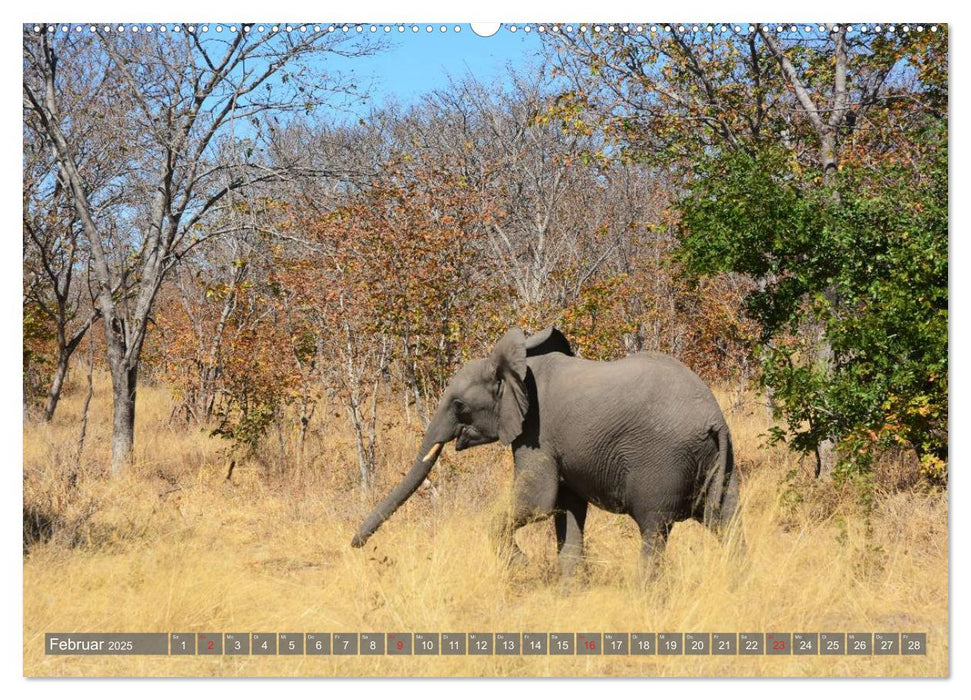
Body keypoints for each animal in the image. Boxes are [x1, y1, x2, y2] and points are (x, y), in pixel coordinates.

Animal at [354, 326, 740, 576]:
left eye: (460, 405)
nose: (354, 545)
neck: (517, 366)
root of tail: (713, 420)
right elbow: (565, 508)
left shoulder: (537, 432)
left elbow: (536, 501)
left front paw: (521, 567)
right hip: (723, 461)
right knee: (729, 522)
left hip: (661, 462)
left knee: (653, 530)